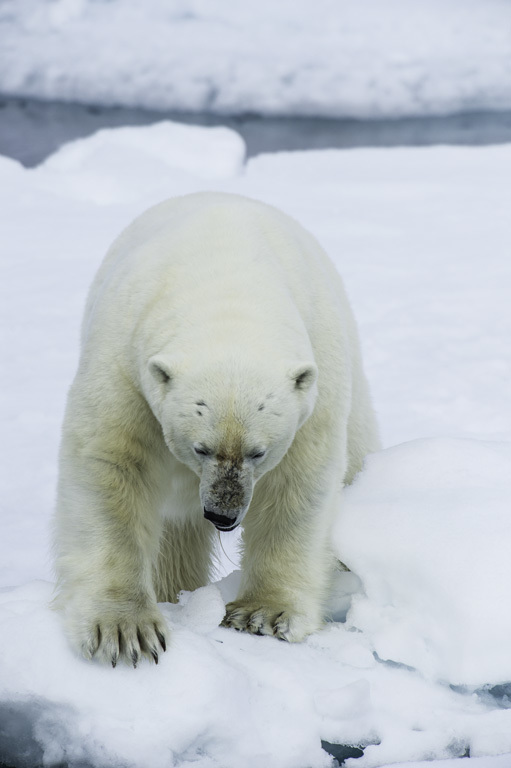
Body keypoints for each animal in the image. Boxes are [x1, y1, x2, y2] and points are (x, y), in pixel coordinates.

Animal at [54, 190, 380, 664]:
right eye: (200, 448)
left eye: (258, 452)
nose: (222, 515)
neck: (226, 284)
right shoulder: (125, 363)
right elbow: (112, 465)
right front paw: (126, 630)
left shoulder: (318, 377)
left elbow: (298, 483)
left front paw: (262, 614)